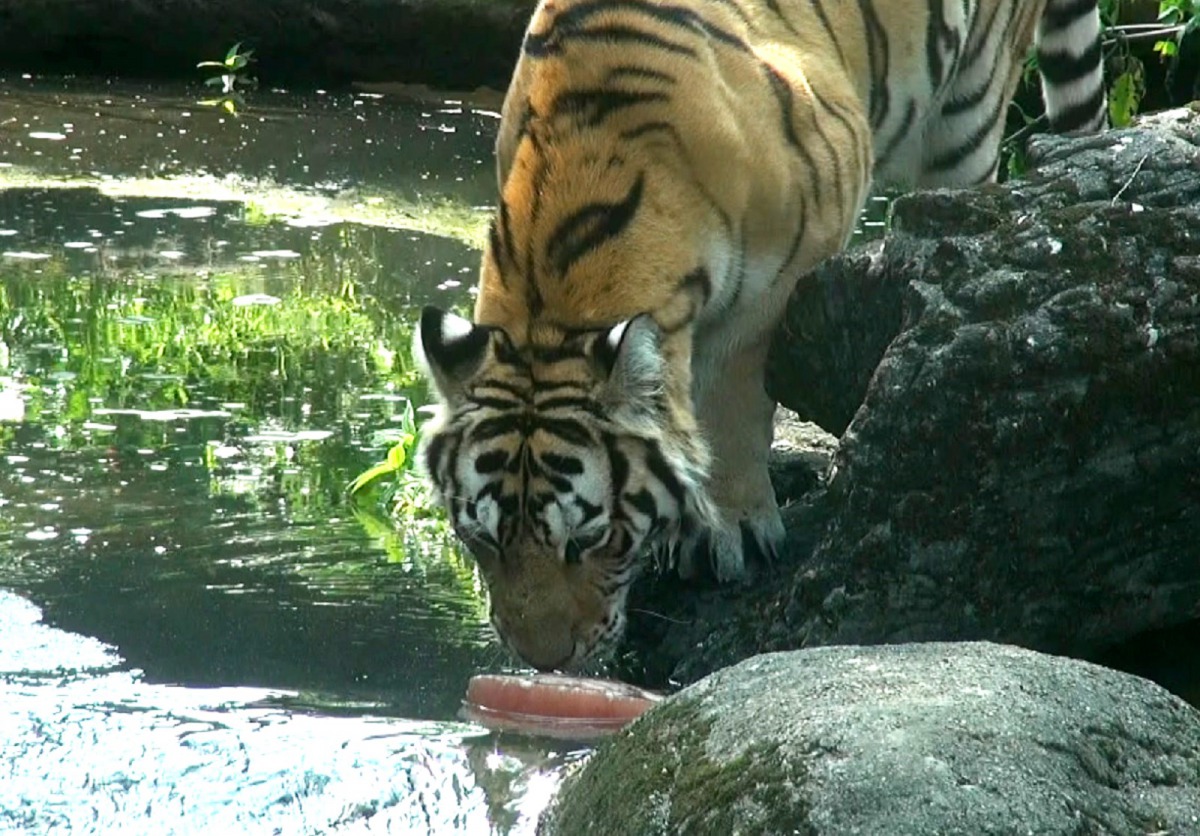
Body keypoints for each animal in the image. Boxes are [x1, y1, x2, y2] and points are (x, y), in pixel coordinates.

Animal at [414, 0, 1107, 672]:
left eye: (589, 539)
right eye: (479, 539)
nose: (544, 660)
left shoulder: (789, 259)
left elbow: (731, 395)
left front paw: (730, 529)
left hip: (971, 109)